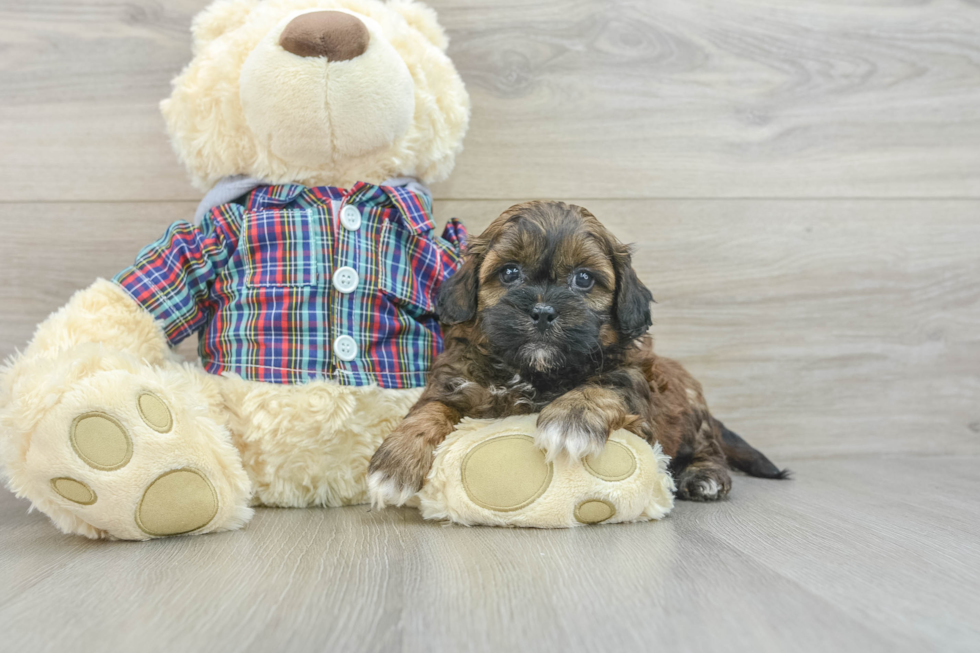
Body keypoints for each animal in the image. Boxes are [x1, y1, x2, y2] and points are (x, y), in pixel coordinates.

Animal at [364, 201, 784, 506]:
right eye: (509, 272)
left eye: (583, 278)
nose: (542, 311)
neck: (532, 370)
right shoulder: (454, 381)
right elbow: (428, 411)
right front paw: (396, 464)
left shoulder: (634, 386)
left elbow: (603, 386)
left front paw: (570, 421)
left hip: (691, 405)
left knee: (709, 448)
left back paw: (704, 476)